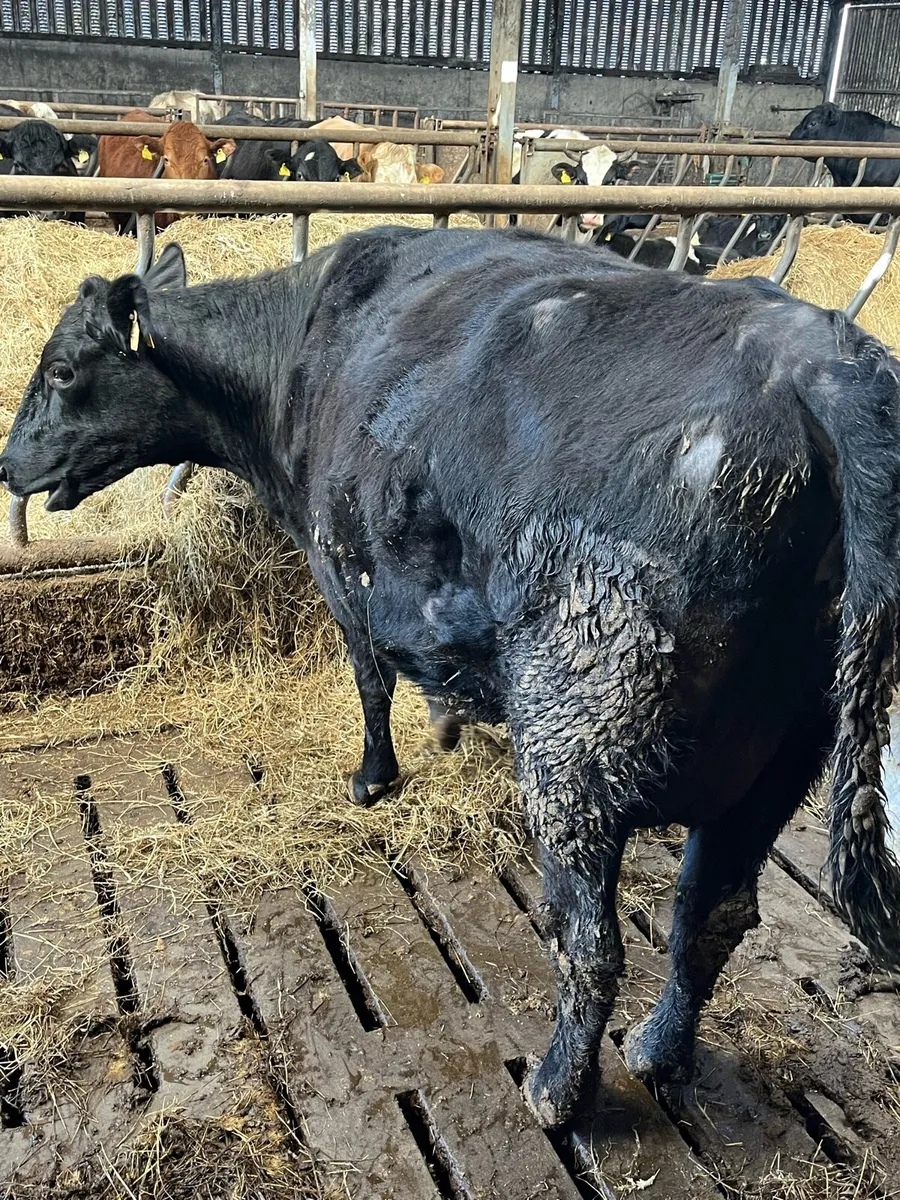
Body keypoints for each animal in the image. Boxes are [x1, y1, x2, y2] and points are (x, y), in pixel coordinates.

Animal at [4, 226, 900, 1134]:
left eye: (63, 371)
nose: (8, 466)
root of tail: (826, 360)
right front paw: (443, 724)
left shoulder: (344, 570)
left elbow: (370, 681)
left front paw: (373, 778)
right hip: (786, 753)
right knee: (711, 914)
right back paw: (659, 1050)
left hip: (578, 740)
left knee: (593, 942)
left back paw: (557, 1092)